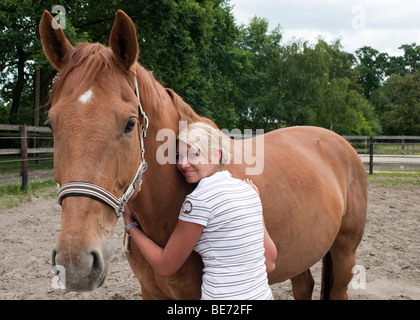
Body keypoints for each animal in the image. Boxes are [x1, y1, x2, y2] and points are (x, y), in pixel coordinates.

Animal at [40, 10, 368, 300]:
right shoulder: (151, 292)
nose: (75, 263)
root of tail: (338, 142)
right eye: (52, 124)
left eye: (130, 123)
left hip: (344, 254)